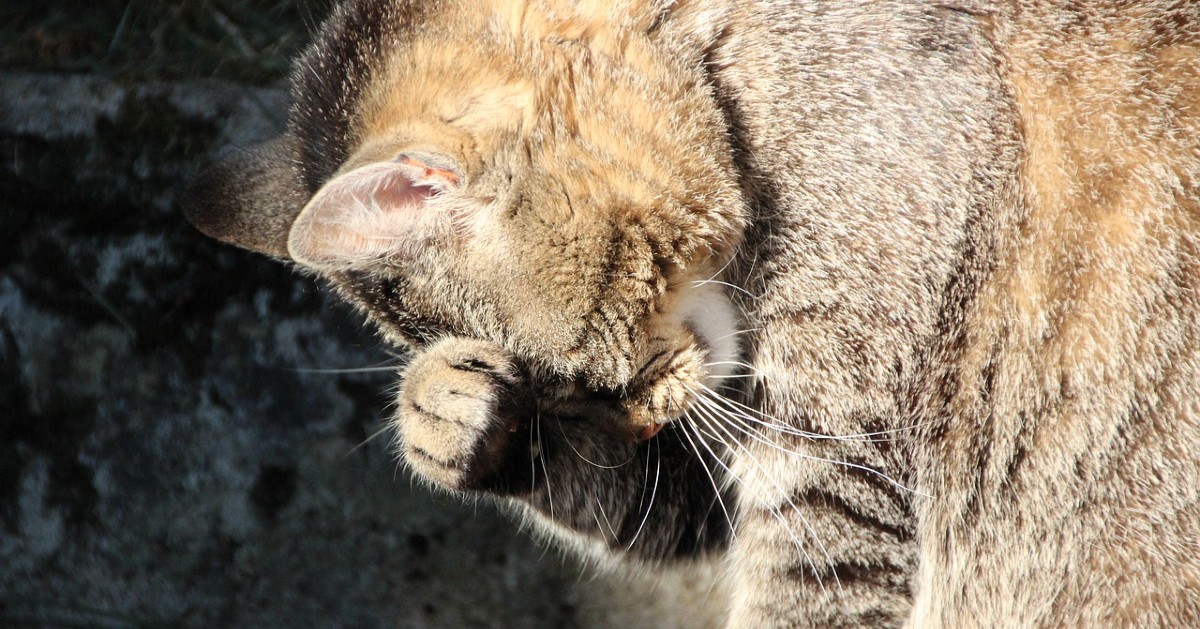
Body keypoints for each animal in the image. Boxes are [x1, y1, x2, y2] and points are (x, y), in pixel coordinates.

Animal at [182, 2, 1195, 624]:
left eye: (583, 375)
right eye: (562, 396)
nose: (636, 417)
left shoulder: (833, 472)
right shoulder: (738, 451)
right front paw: (449, 416)